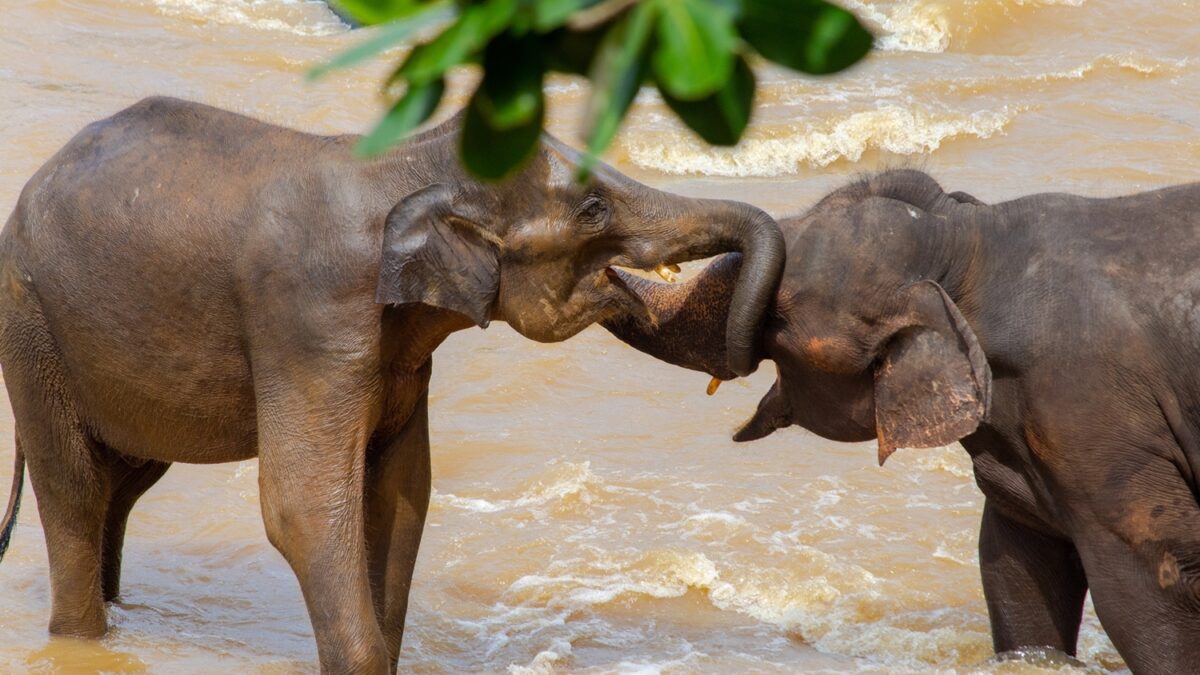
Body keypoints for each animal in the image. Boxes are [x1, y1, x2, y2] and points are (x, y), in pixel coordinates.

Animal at [0, 96, 784, 673]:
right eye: (591, 209)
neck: (409, 162)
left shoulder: (403, 353)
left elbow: (403, 492)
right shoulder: (310, 321)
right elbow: (303, 506)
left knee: (125, 483)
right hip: (32, 327)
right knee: (74, 489)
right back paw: (82, 634)